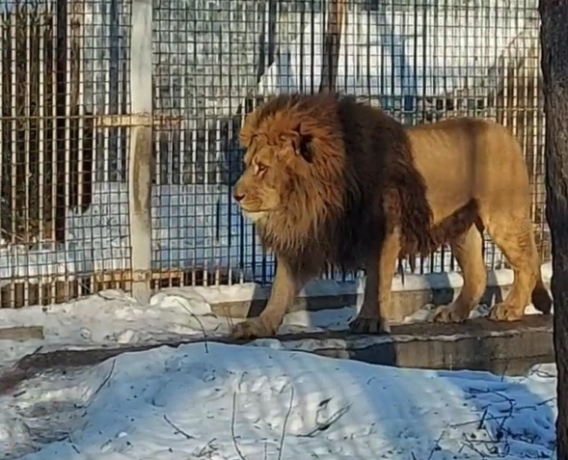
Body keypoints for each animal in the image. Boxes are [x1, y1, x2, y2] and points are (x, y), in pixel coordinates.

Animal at [229, 91, 552, 340]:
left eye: (261, 167)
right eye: (247, 164)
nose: (236, 195)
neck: (308, 198)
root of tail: (505, 130)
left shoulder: (382, 230)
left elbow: (377, 280)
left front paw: (369, 321)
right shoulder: (310, 237)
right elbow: (280, 289)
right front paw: (259, 326)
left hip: (504, 216)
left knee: (528, 263)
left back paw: (511, 308)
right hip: (461, 227)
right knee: (478, 274)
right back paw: (454, 312)